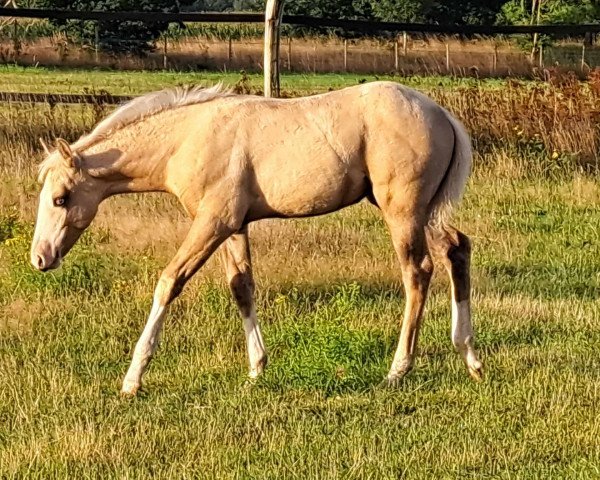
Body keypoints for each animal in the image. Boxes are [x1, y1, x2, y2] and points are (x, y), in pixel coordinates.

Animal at [31, 82, 482, 396]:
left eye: (61, 198)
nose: (40, 258)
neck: (189, 138)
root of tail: (442, 115)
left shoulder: (212, 223)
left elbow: (168, 282)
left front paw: (132, 379)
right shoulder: (234, 227)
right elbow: (241, 287)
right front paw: (256, 368)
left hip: (401, 212)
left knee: (418, 272)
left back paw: (398, 369)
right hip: (421, 214)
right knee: (456, 249)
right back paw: (469, 356)